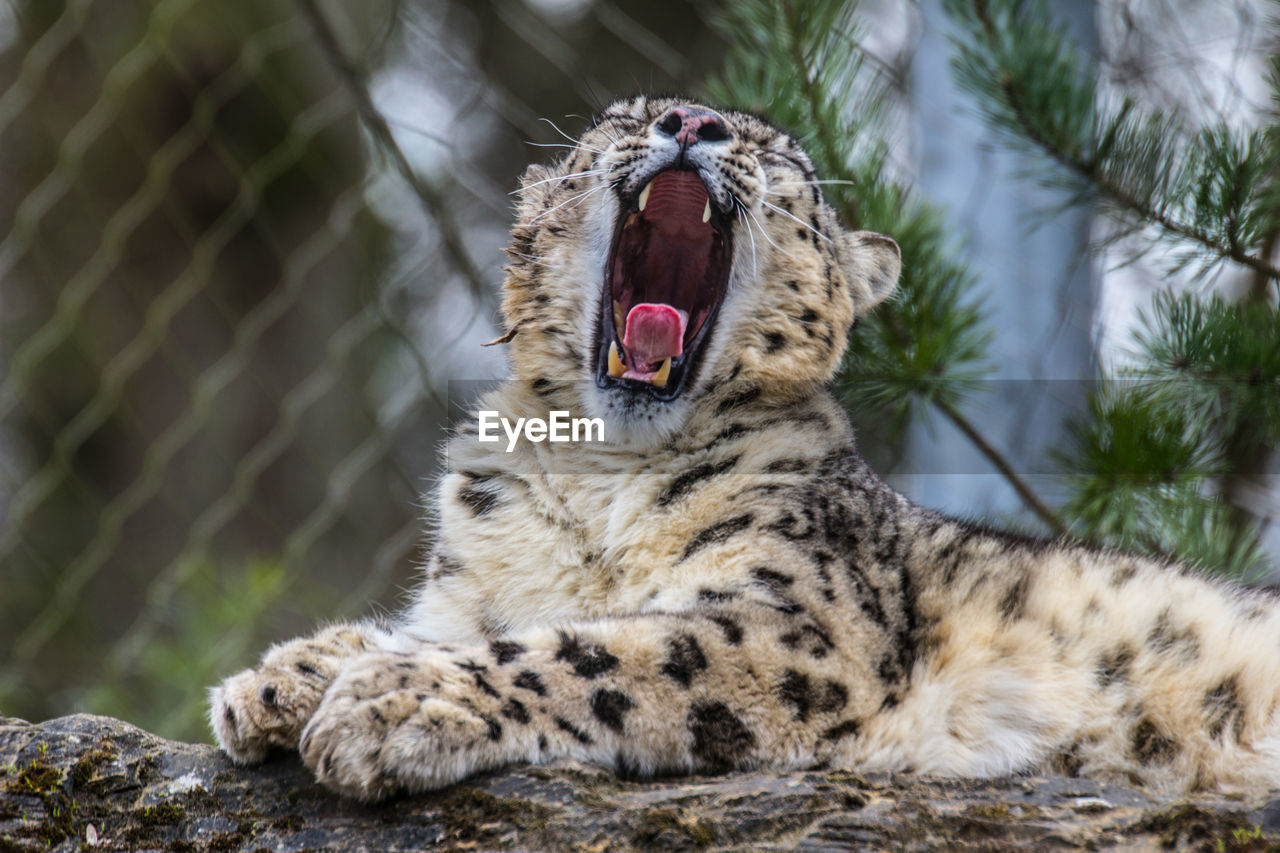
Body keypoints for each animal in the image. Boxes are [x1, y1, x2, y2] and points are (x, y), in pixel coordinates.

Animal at [209, 92, 1280, 799]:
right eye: (623, 118)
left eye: (780, 156)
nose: (691, 123)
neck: (604, 472)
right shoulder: (472, 588)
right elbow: (457, 622)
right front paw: (277, 679)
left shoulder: (795, 621)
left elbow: (593, 649)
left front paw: (387, 700)